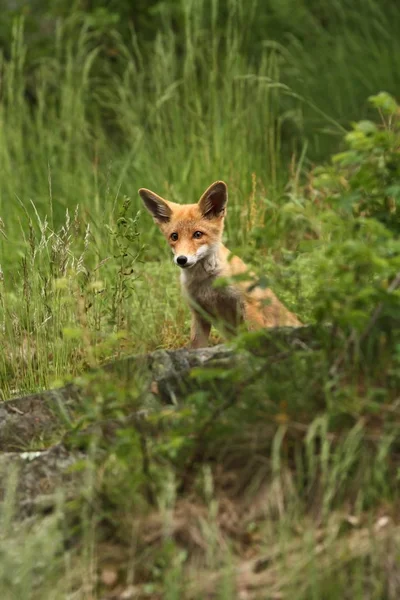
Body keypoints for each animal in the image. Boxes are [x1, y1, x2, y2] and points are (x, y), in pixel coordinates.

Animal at [139, 180, 302, 346]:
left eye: (198, 234)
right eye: (174, 236)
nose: (182, 259)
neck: (206, 284)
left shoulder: (249, 304)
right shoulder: (199, 313)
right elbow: (197, 347)